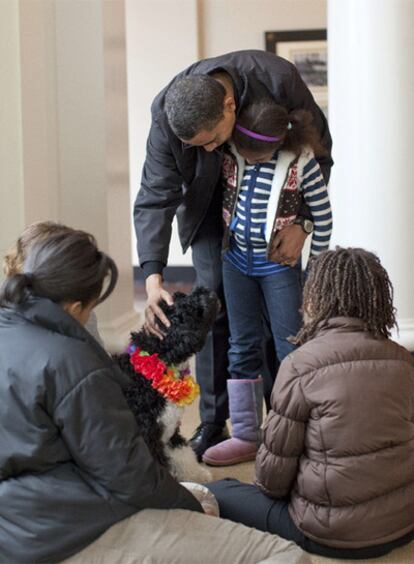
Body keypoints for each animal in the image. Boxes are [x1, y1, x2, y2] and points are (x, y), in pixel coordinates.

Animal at [115, 288, 220, 482]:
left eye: (180, 296)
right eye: (189, 310)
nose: (204, 289)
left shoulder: (170, 434)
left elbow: (184, 456)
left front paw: (198, 475)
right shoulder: (149, 437)